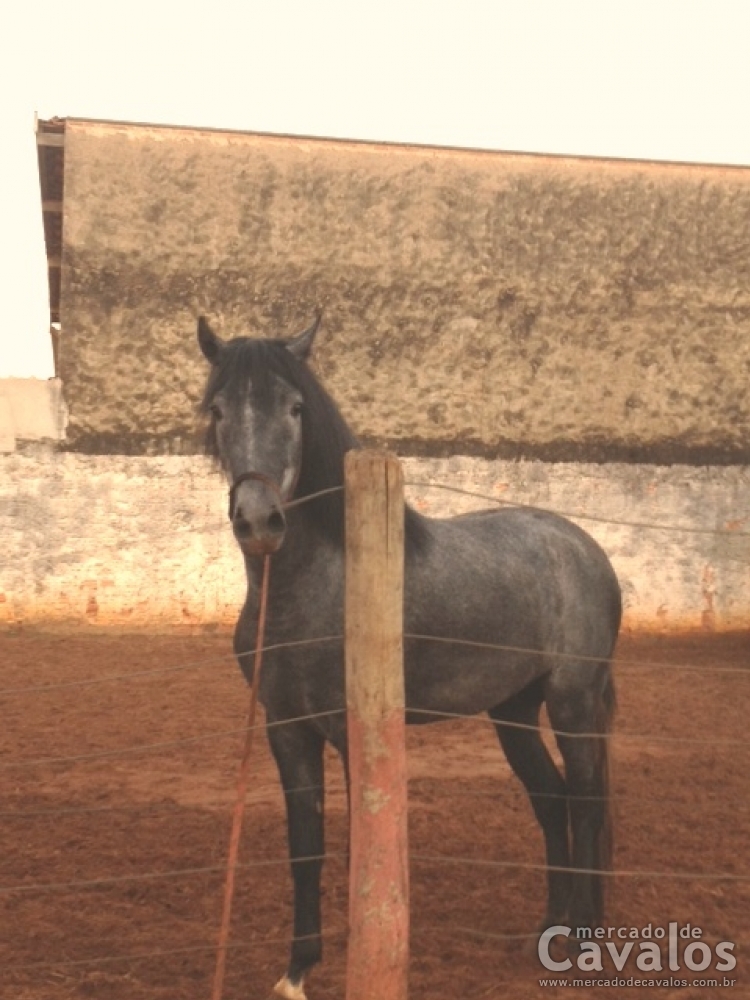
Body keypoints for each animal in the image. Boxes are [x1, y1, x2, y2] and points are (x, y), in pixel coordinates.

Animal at [196, 315, 621, 1000]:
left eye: (295, 407)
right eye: (219, 409)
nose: (260, 521)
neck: (317, 587)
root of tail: (582, 546)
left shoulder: (353, 732)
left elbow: (359, 852)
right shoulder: (286, 728)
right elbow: (305, 847)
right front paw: (296, 972)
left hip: (574, 703)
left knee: (584, 805)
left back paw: (583, 940)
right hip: (512, 712)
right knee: (552, 799)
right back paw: (549, 931)